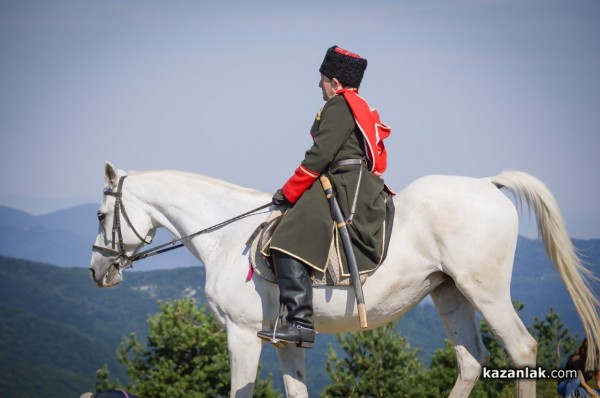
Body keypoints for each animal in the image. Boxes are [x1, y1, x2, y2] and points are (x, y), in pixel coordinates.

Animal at [90, 162, 600, 398]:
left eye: (99, 215)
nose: (97, 271)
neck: (227, 235)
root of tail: (486, 183)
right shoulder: (284, 338)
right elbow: (295, 389)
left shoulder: (242, 334)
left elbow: (243, 390)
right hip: (449, 293)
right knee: (472, 361)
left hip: (486, 291)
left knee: (521, 349)